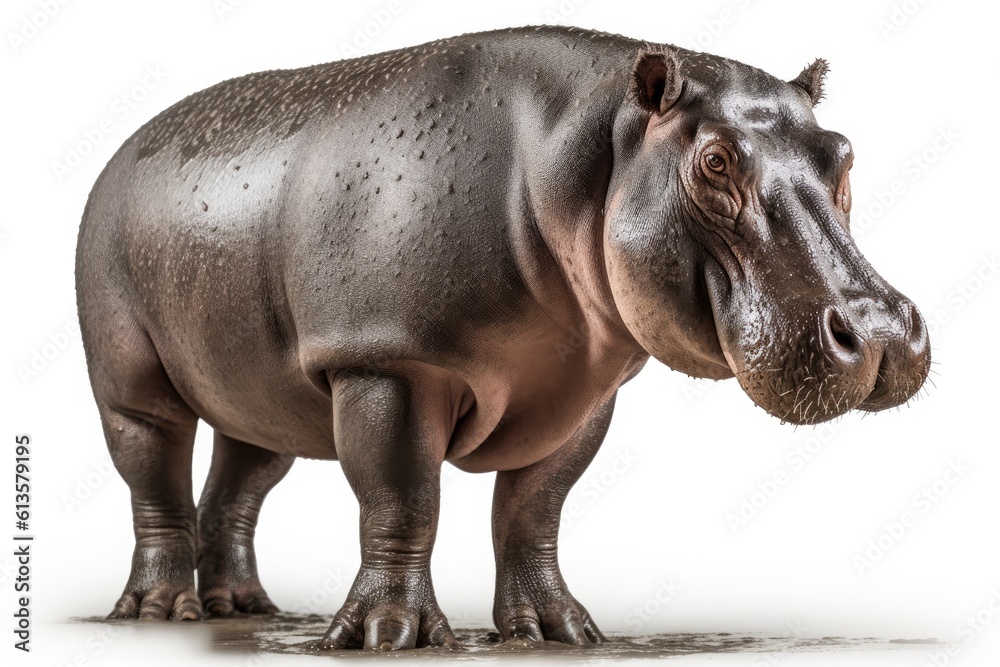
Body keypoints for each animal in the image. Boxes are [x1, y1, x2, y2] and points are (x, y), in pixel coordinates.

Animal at [75, 25, 930, 650]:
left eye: (843, 154)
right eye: (715, 160)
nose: (882, 330)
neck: (596, 152)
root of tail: (123, 150)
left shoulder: (580, 387)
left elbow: (534, 508)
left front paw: (562, 630)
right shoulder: (387, 361)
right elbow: (403, 499)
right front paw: (392, 636)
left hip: (262, 384)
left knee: (245, 472)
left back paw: (245, 608)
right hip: (130, 379)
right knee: (153, 471)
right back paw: (162, 612)